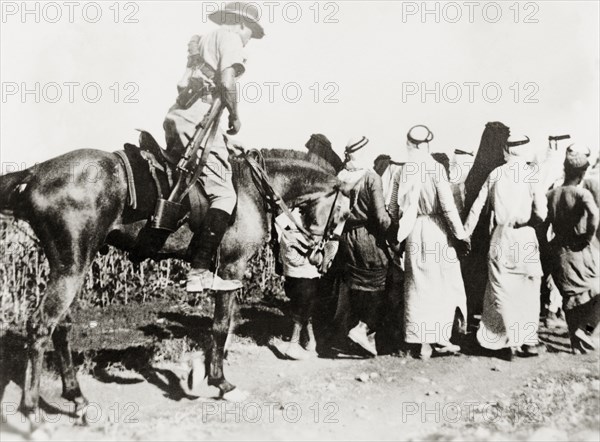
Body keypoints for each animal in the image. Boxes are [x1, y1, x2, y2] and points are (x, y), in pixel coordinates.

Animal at [0, 148, 344, 424]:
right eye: (342, 213)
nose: (325, 259)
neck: (251, 188)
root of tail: (36, 172)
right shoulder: (232, 267)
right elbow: (221, 326)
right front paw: (221, 382)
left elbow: (224, 325)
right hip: (70, 268)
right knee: (41, 326)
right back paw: (30, 411)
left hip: (70, 267)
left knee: (61, 327)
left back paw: (78, 399)